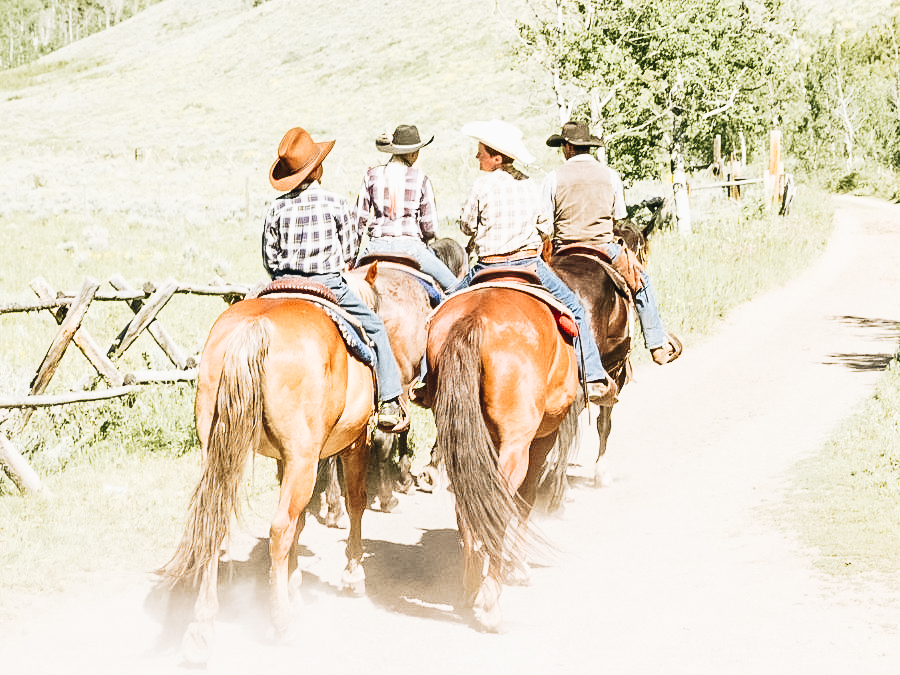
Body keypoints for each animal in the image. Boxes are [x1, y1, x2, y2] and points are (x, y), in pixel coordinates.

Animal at [156, 294, 374, 664]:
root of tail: (254, 326)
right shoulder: (353, 443)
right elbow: (354, 503)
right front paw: (352, 574)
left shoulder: (291, 461)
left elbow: (302, 520)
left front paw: (294, 582)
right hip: (302, 457)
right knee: (280, 529)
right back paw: (281, 623)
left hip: (218, 449)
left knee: (215, 522)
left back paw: (202, 627)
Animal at [418, 280, 580, 632]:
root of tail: (475, 318)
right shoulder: (541, 440)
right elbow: (525, 500)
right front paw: (519, 567)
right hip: (516, 445)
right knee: (500, 505)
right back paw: (490, 602)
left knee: (468, 504)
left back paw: (470, 585)